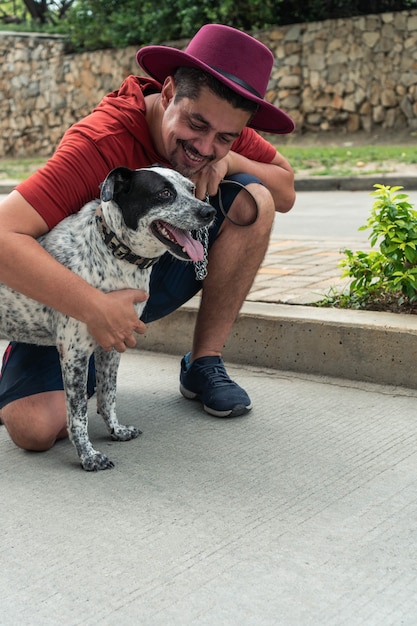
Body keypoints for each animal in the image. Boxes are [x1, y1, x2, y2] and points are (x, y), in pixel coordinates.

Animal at [0, 166, 214, 468]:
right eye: (164, 193)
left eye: (191, 189)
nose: (210, 211)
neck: (114, 253)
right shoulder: (74, 354)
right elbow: (78, 414)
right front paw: (88, 456)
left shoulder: (112, 344)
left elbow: (107, 395)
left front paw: (116, 430)